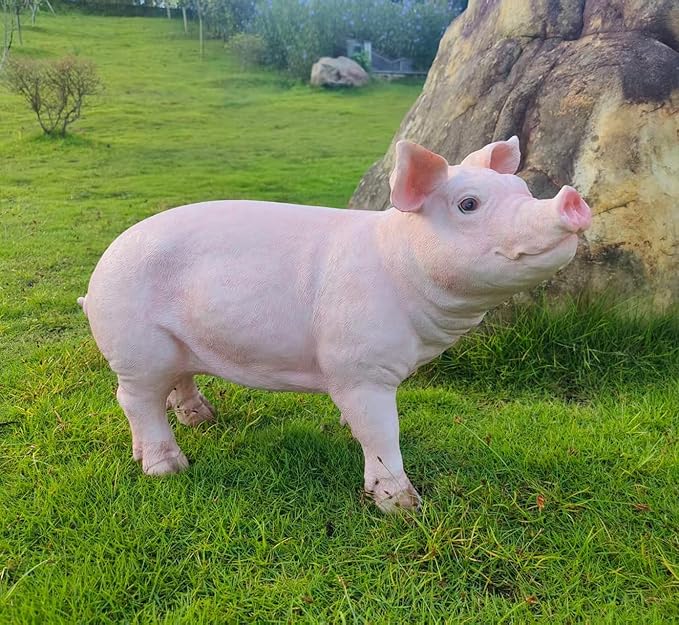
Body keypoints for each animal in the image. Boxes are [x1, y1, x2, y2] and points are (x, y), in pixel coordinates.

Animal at [78, 137, 591, 512]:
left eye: (522, 192)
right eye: (469, 205)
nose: (570, 200)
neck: (398, 268)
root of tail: (97, 277)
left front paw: (348, 431)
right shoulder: (359, 368)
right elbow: (381, 431)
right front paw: (403, 507)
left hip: (175, 345)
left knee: (174, 383)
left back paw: (205, 419)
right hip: (136, 344)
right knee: (133, 399)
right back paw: (168, 468)